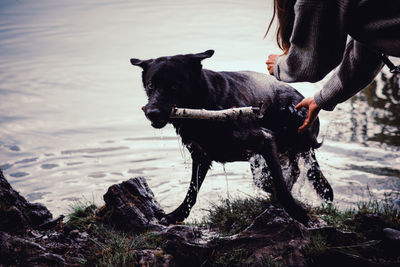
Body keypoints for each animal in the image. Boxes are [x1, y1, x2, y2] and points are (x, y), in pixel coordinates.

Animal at [130, 49, 332, 225]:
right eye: (150, 85)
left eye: (174, 86)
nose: (152, 112)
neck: (206, 102)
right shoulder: (201, 155)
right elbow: (192, 192)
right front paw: (176, 215)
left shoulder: (264, 139)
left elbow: (281, 187)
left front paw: (298, 214)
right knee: (287, 173)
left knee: (294, 172)